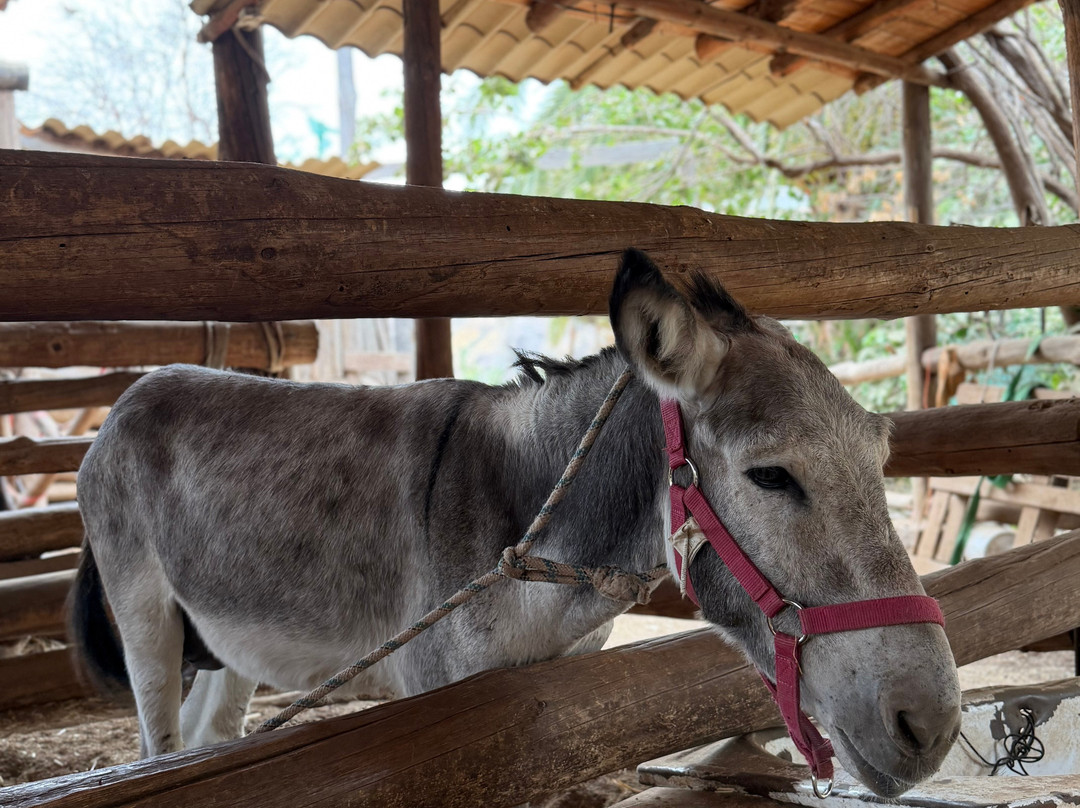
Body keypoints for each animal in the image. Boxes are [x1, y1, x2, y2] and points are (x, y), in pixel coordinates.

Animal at [71, 248, 960, 796]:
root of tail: (131, 394)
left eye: (881, 457)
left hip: (229, 643)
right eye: (770, 476)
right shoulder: (443, 719)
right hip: (145, 616)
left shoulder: (544, 712)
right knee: (159, 749)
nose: (932, 726)